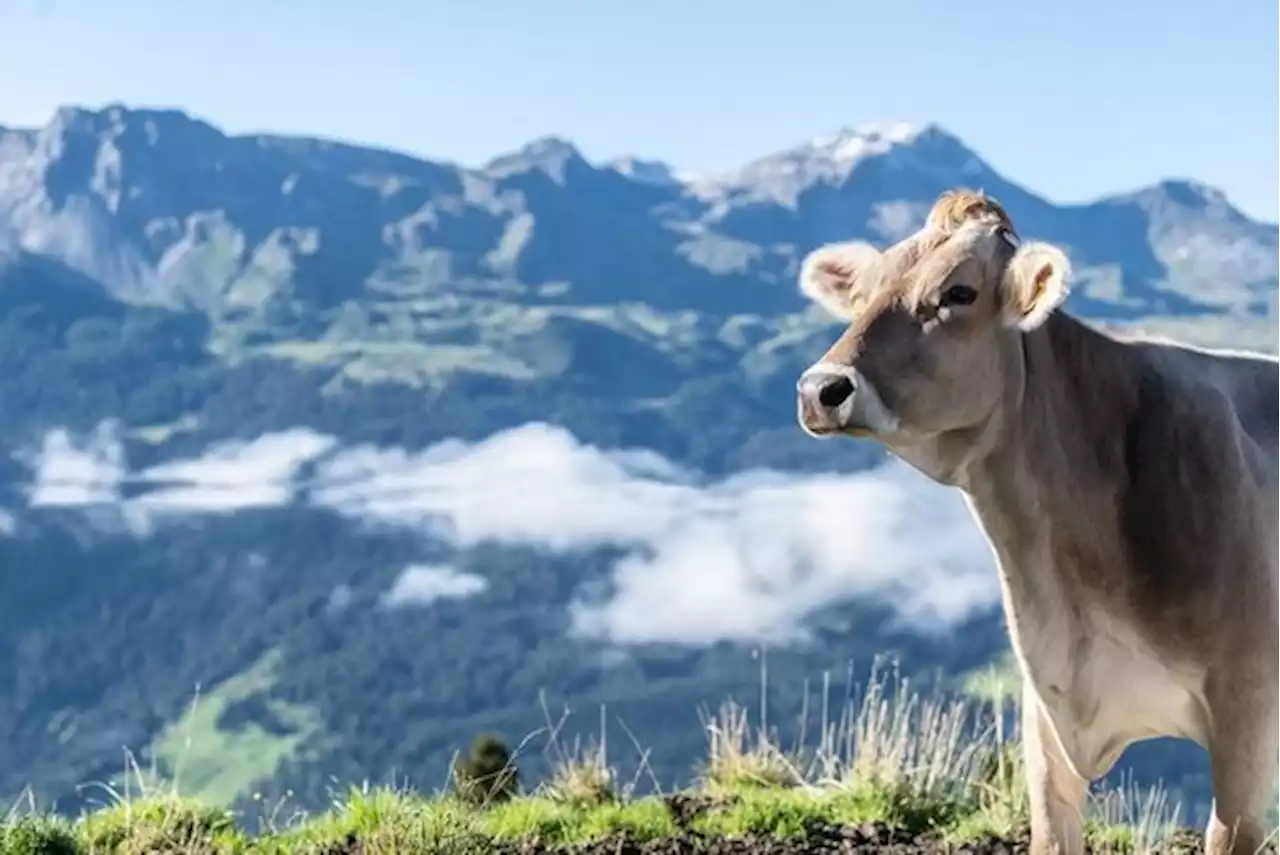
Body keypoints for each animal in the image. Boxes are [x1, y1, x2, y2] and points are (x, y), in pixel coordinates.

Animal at [793, 190, 1280, 855]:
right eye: (864, 292)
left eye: (959, 292)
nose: (822, 388)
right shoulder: (1044, 708)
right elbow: (1050, 830)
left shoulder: (1247, 713)